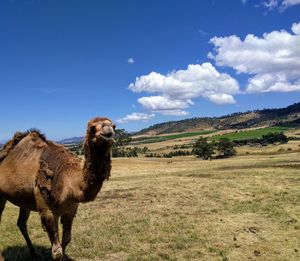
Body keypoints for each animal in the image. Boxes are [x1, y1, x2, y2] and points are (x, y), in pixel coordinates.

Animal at [0, 117, 115, 258]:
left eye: (114, 126)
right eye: (93, 128)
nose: (109, 133)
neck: (69, 183)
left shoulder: (71, 209)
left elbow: (66, 240)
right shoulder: (47, 210)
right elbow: (57, 251)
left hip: (23, 199)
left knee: (21, 223)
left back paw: (34, 254)